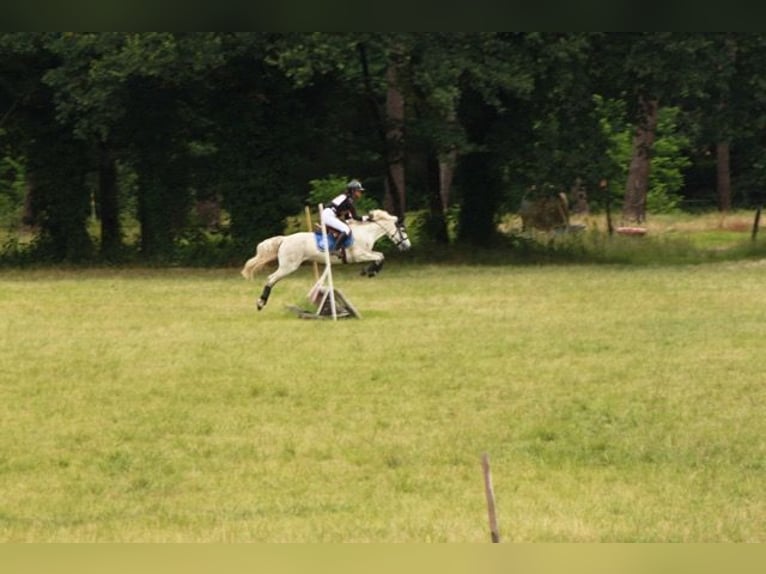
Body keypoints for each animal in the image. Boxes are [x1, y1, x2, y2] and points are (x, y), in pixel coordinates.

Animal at [240, 210, 412, 310]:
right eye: (403, 229)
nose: (407, 246)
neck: (365, 232)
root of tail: (285, 239)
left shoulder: (366, 253)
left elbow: (380, 255)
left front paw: (370, 271)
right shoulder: (359, 255)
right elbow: (380, 256)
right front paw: (369, 271)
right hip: (289, 266)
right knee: (271, 278)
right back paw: (260, 303)